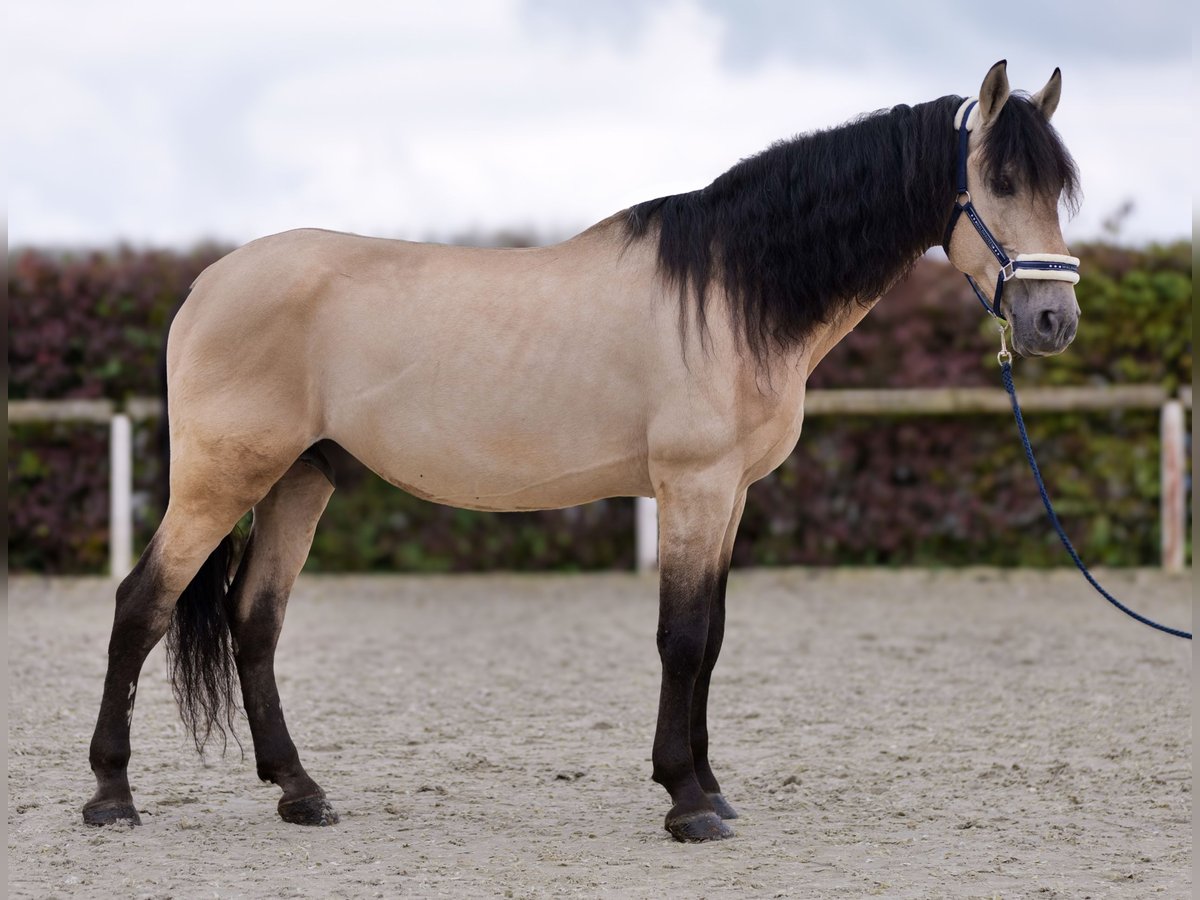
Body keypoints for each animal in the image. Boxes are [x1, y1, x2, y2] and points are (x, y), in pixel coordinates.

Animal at [82, 60, 1080, 844]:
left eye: (1057, 188)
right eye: (998, 182)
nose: (1053, 320)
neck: (731, 292)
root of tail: (205, 285)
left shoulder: (730, 496)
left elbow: (713, 637)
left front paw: (712, 788)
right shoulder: (693, 487)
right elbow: (682, 637)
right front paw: (687, 803)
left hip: (299, 479)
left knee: (254, 621)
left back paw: (301, 793)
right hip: (221, 479)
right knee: (142, 605)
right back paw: (111, 796)